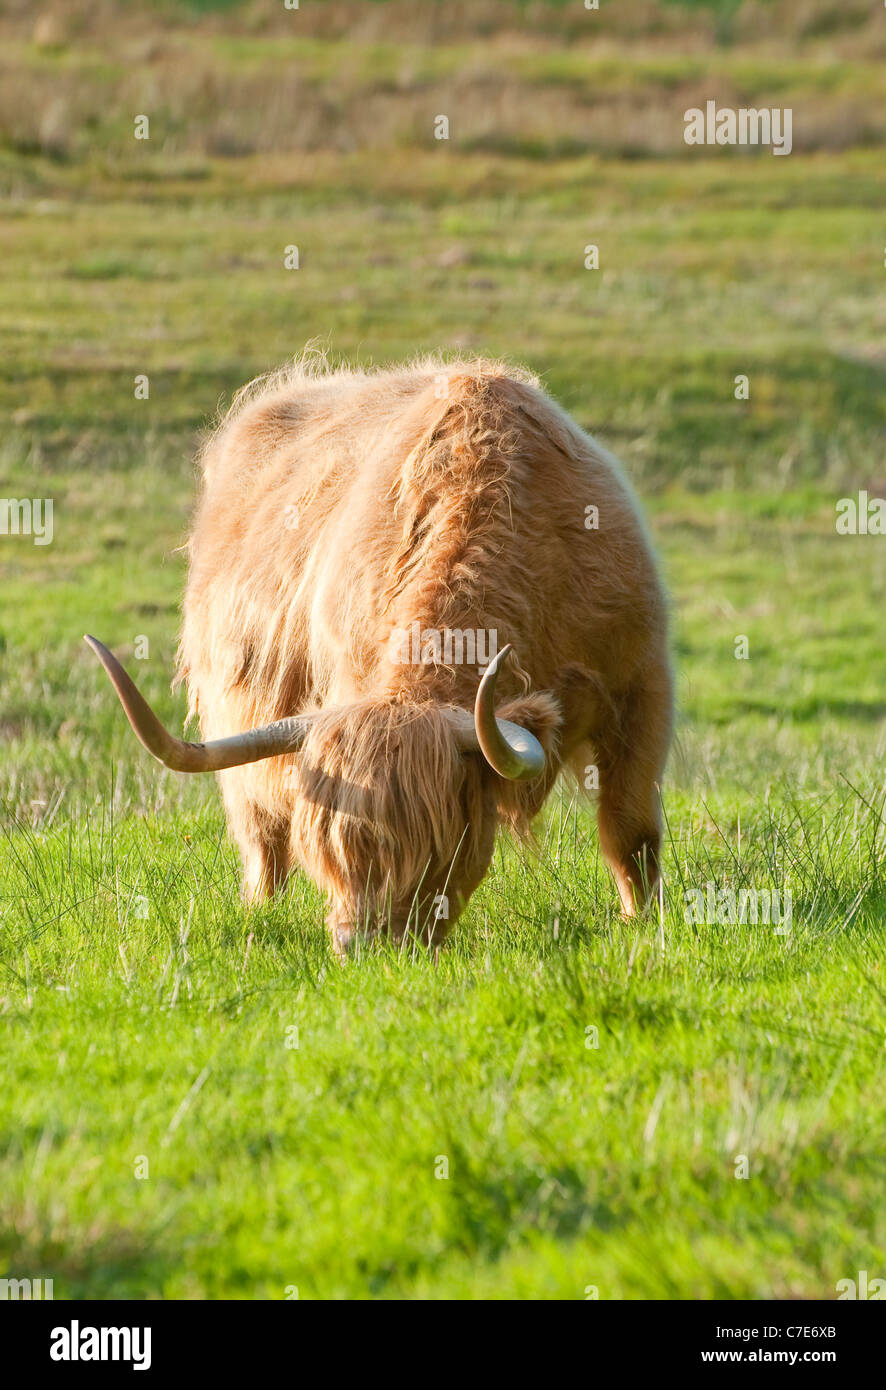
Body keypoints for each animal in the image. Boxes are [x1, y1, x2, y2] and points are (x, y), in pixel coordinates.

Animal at [86, 356, 673, 956]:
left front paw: (645, 923)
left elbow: (630, 830)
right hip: (235, 709)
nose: (356, 943)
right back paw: (258, 913)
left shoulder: (642, 687)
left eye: (437, 843)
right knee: (259, 833)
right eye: (331, 847)